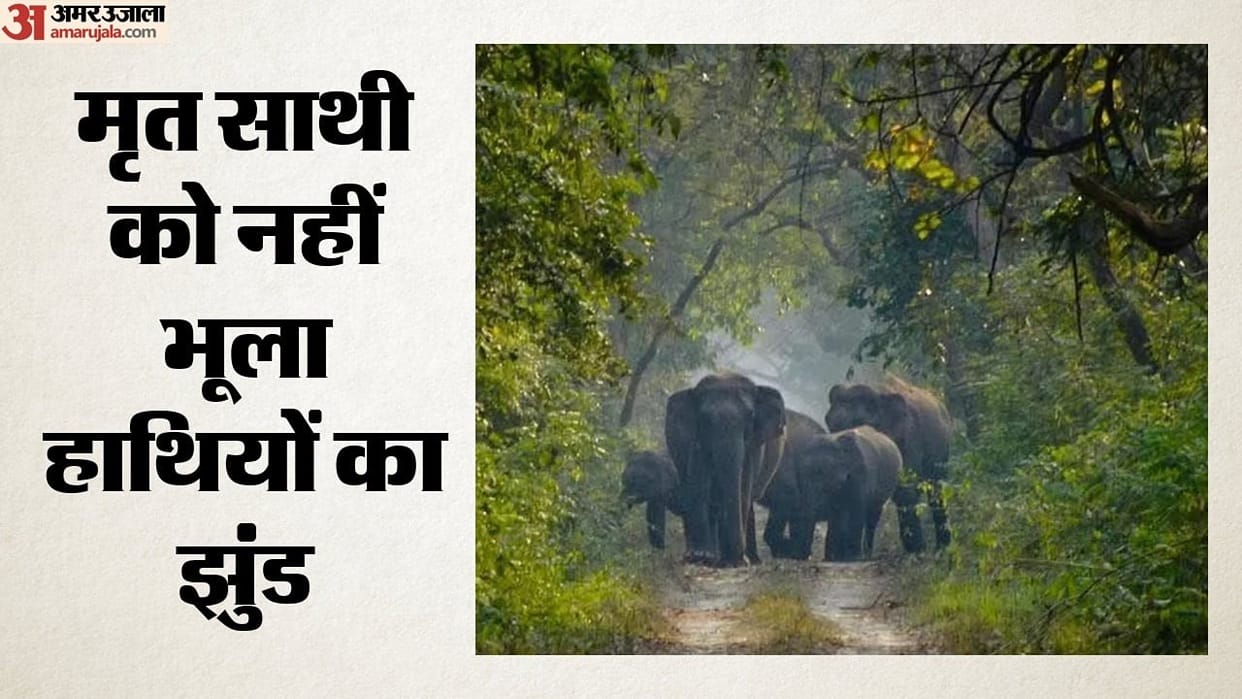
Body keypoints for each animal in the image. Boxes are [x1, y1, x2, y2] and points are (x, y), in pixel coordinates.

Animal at [665, 373, 786, 567]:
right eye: (704, 418)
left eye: (751, 415)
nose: (738, 559)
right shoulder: (696, 440)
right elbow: (698, 483)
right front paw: (699, 556)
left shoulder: (752, 447)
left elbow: (743, 488)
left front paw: (735, 560)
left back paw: (747, 559)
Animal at [791, 426, 901, 561]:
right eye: (799, 475)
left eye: (822, 473)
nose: (803, 556)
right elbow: (836, 516)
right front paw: (832, 558)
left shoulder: (860, 475)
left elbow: (856, 512)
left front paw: (853, 557)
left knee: (872, 517)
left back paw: (865, 555)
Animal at [825, 378, 953, 553]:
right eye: (829, 423)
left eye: (860, 423)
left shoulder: (909, 438)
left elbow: (905, 489)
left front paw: (917, 550)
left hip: (943, 450)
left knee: (936, 489)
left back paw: (941, 548)